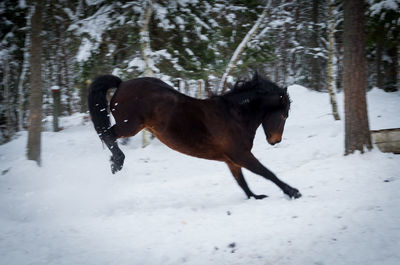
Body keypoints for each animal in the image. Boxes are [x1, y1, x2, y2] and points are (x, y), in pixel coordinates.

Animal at [87, 72, 300, 198]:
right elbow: (267, 172)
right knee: (107, 134)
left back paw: (115, 162)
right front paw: (293, 191)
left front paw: (256, 197)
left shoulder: (232, 160)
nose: (275, 140)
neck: (234, 116)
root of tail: (121, 84)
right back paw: (117, 161)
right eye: (284, 114)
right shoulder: (242, 155)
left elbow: (242, 183)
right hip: (129, 126)